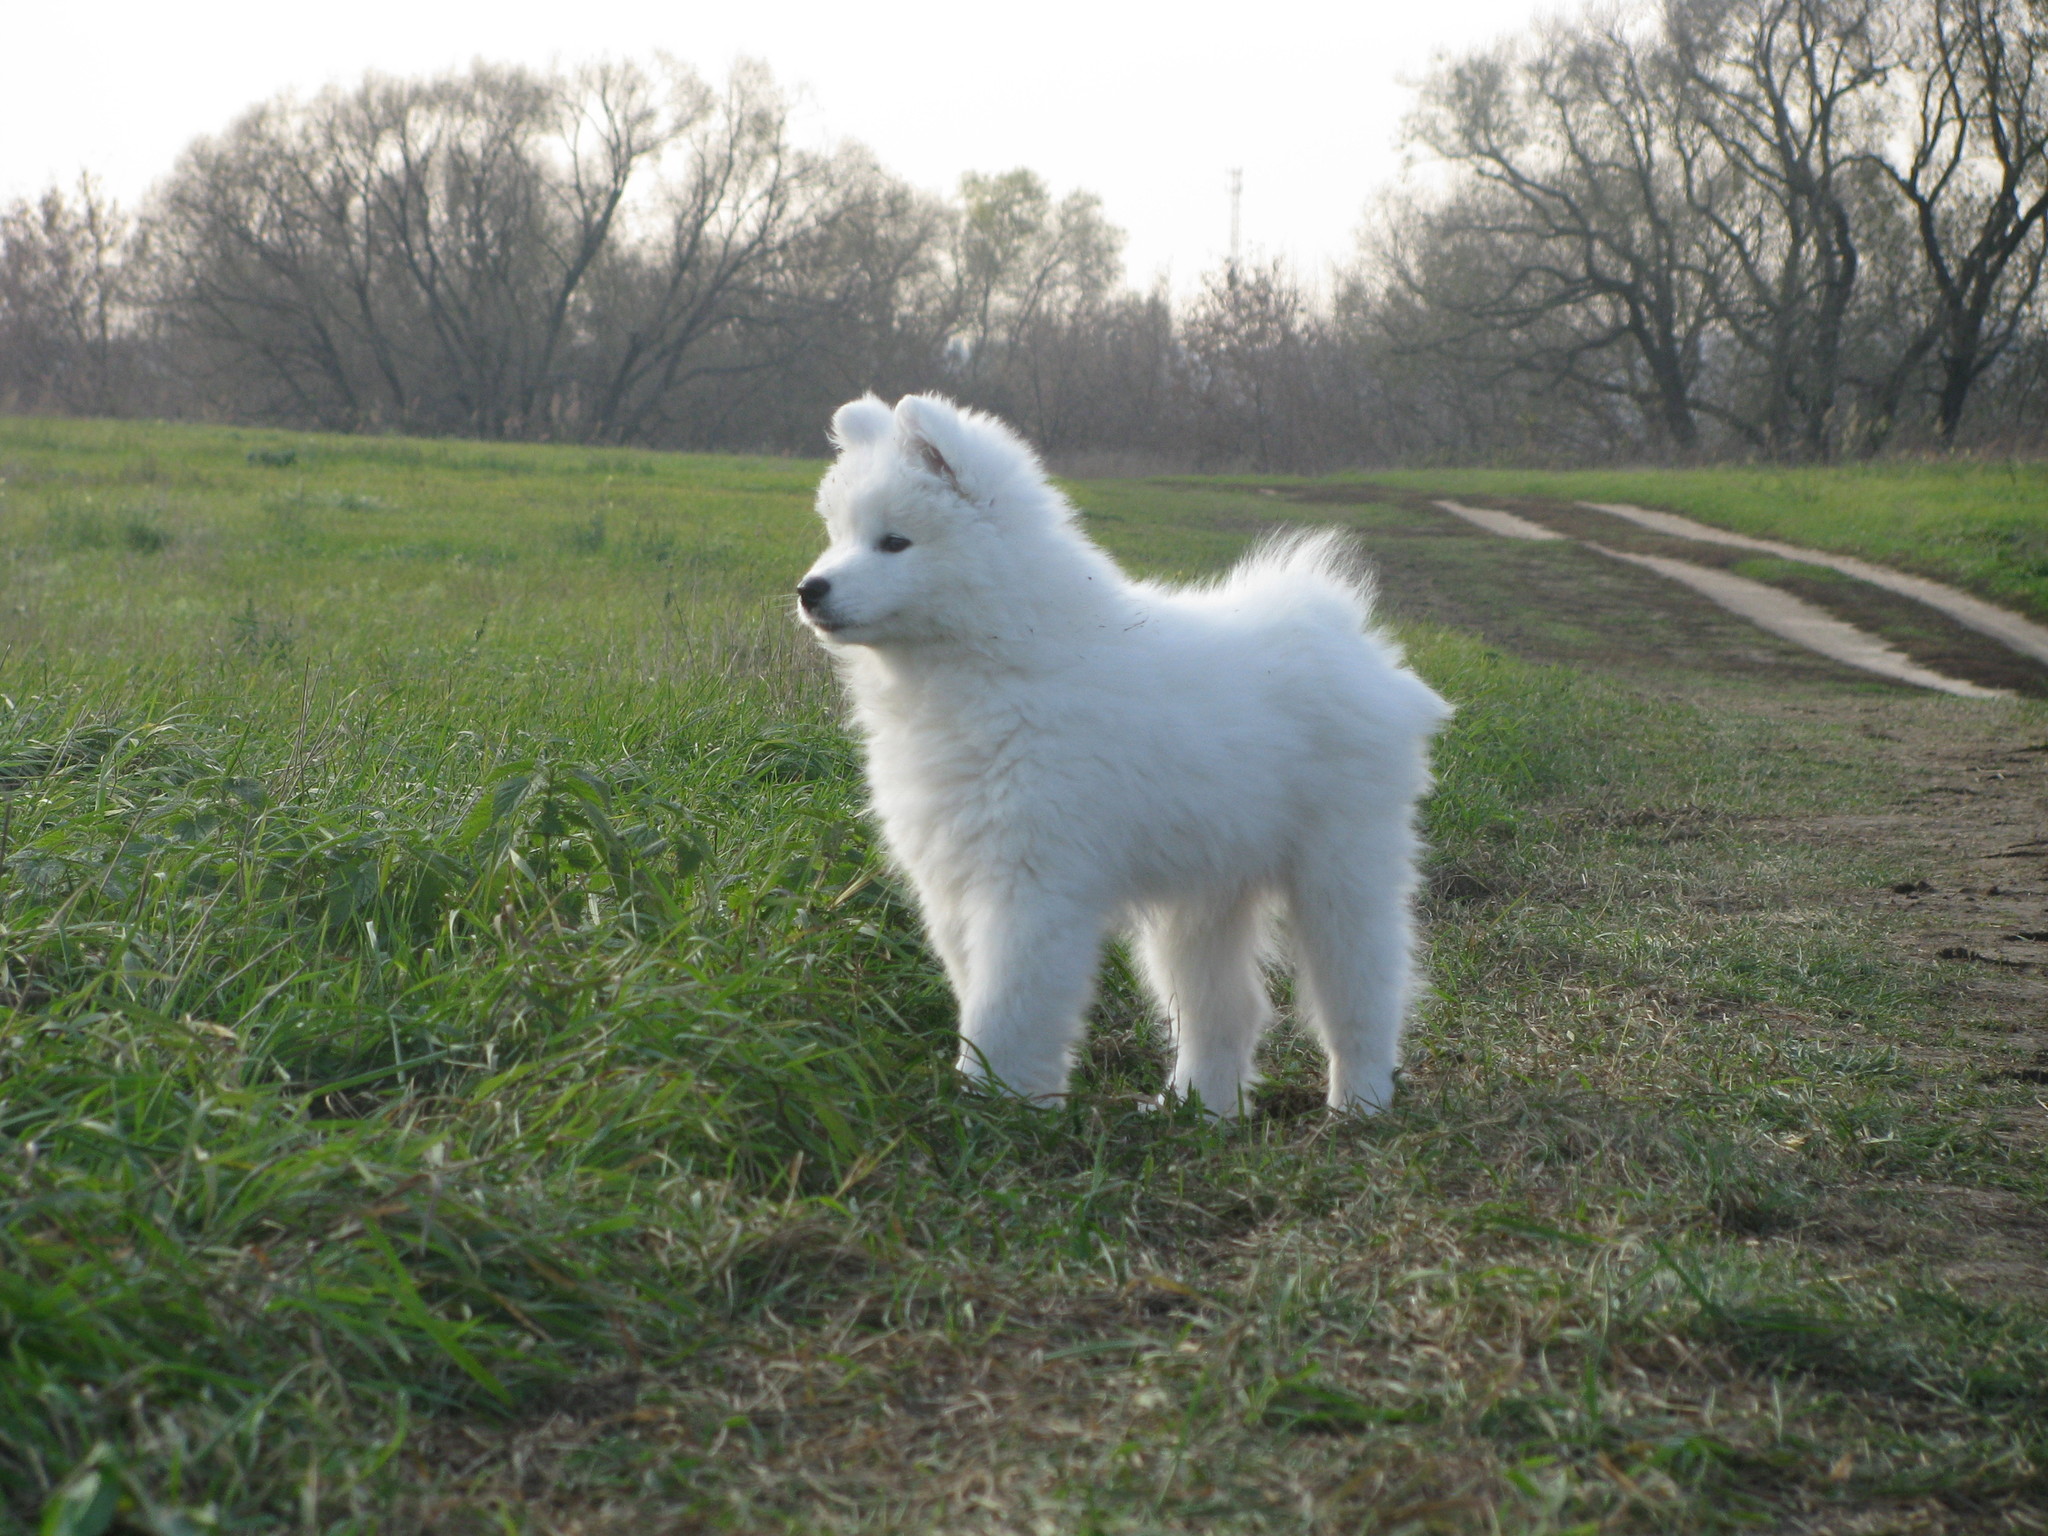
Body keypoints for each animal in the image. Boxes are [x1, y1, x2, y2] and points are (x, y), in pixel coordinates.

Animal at [790, 397, 1449, 1122]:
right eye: (839, 536)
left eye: (894, 542)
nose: (809, 588)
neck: (992, 660)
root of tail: (1341, 631)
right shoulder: (954, 879)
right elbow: (976, 994)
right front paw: (991, 1101)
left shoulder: (1032, 885)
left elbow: (1007, 1010)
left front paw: (994, 1112)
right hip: (1206, 892)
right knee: (1226, 1011)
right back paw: (1199, 1112)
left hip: (1342, 868)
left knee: (1362, 996)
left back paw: (1357, 1106)